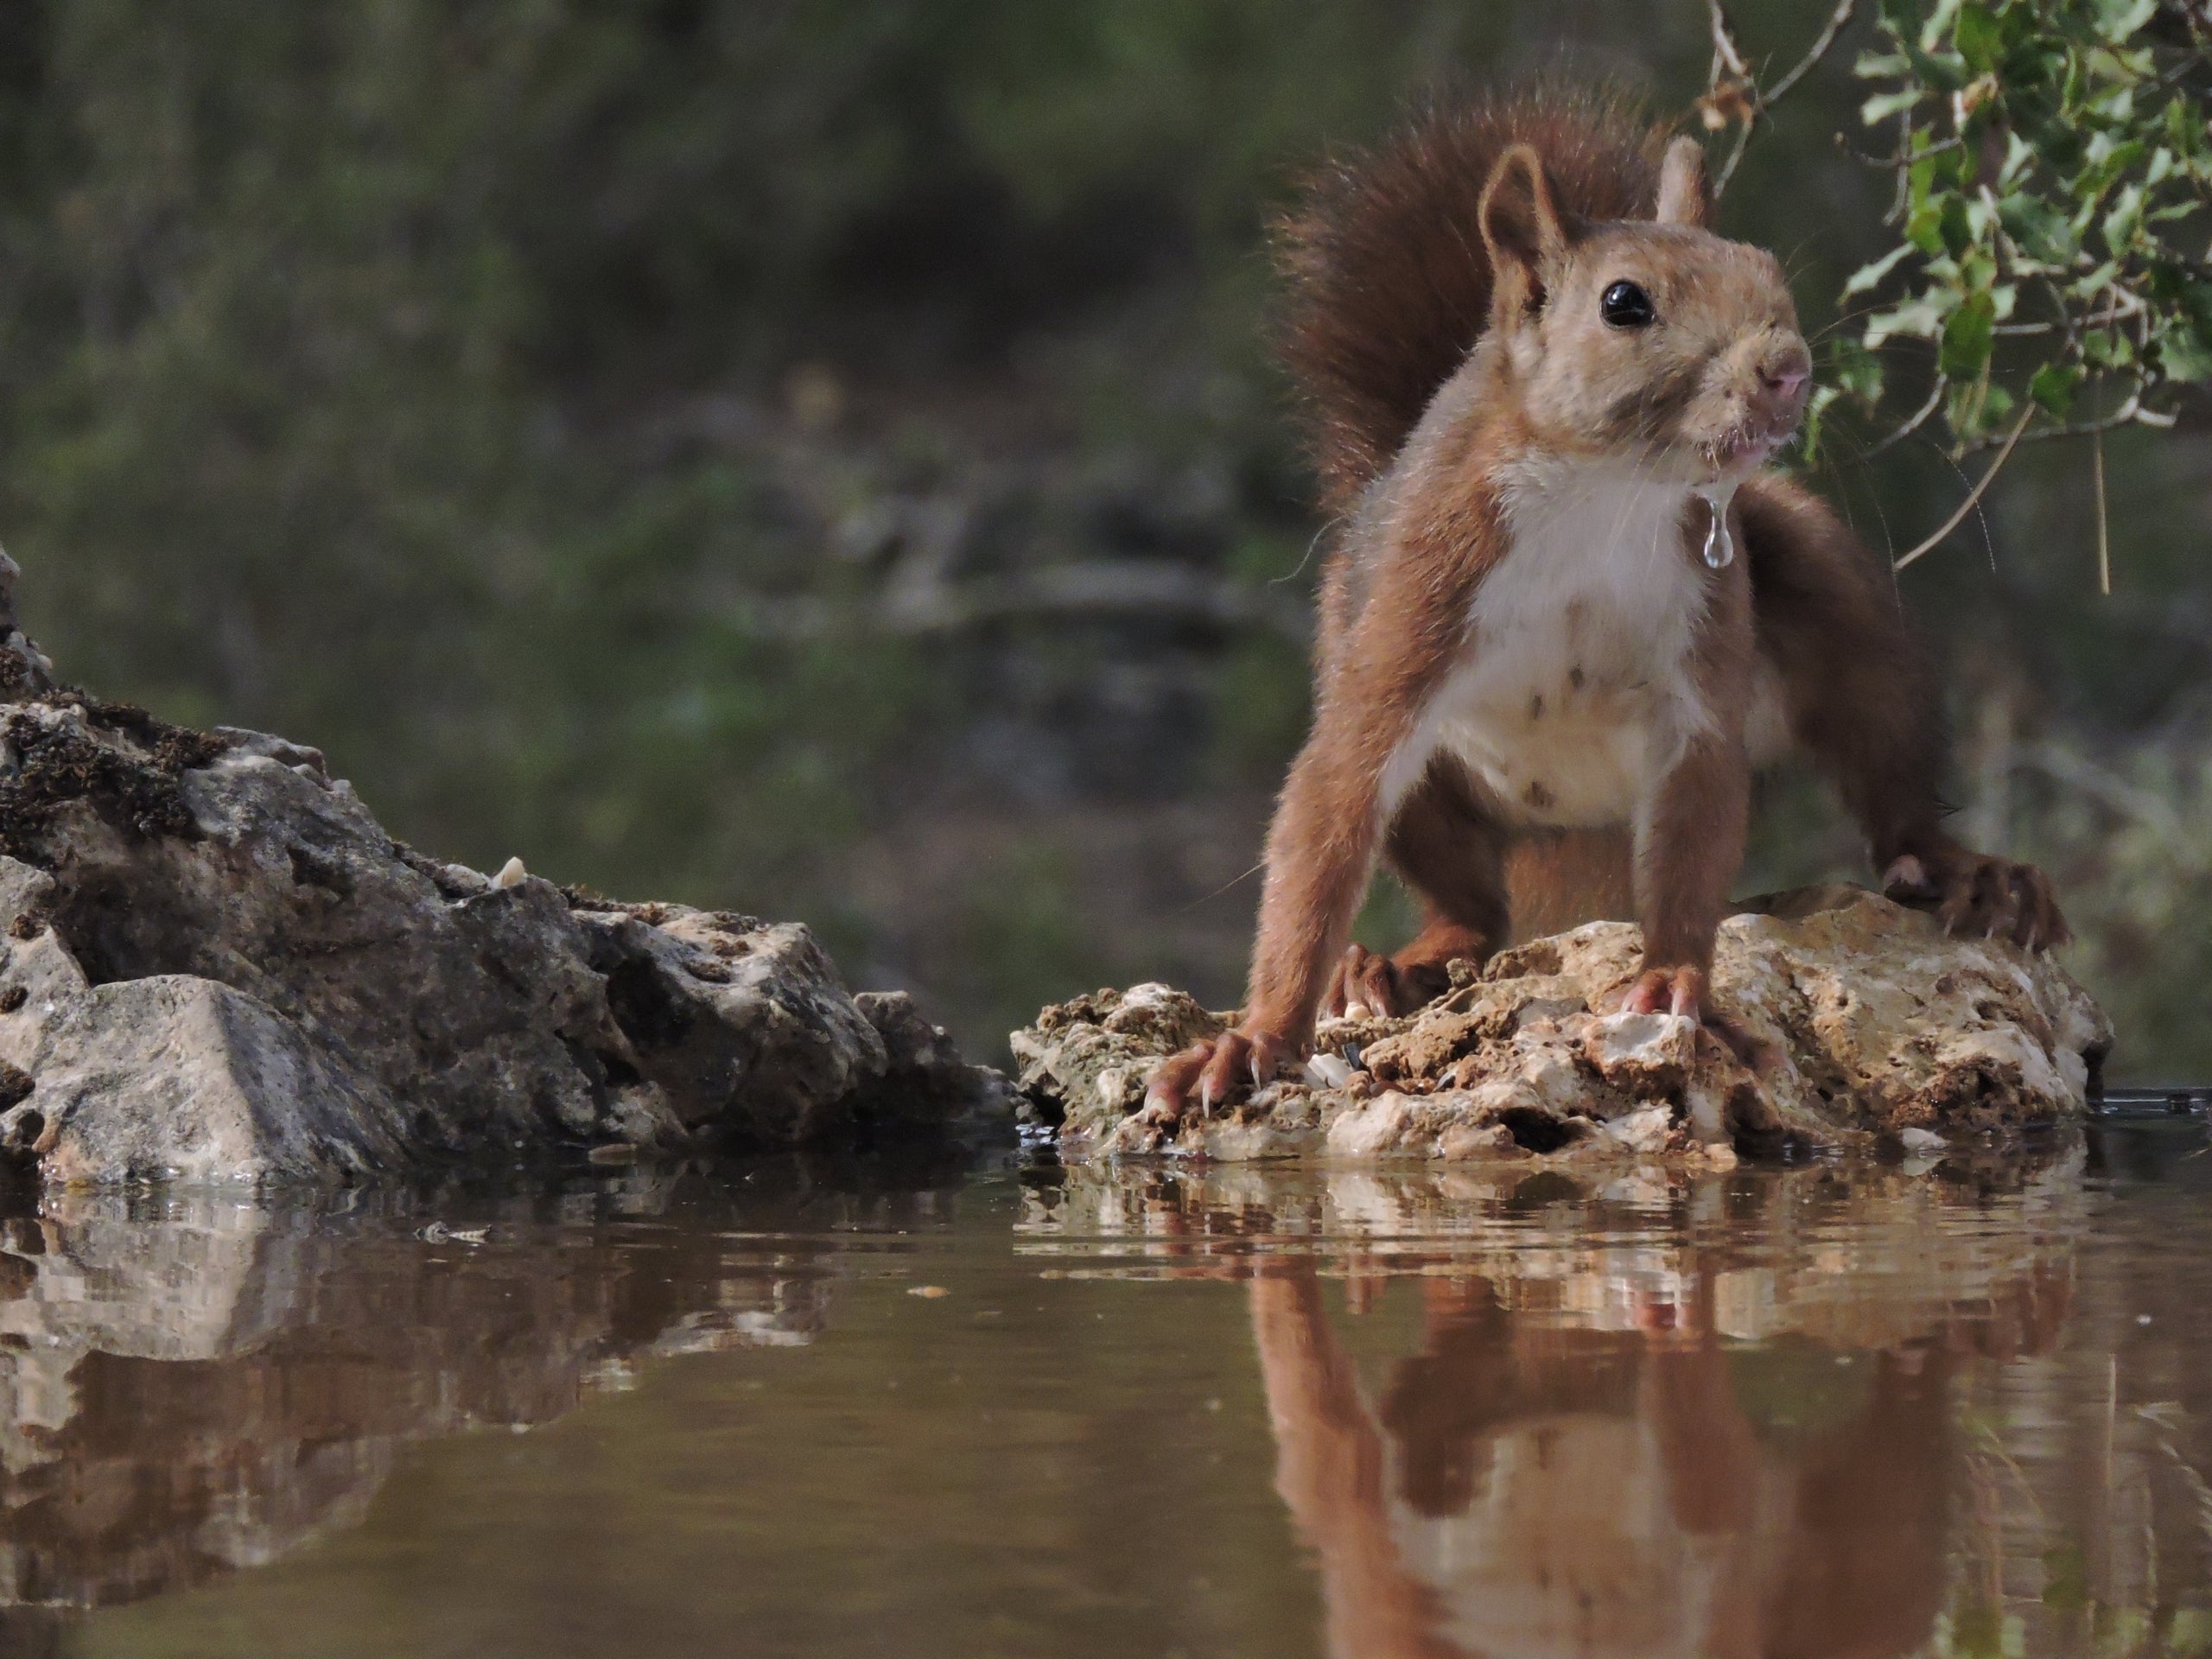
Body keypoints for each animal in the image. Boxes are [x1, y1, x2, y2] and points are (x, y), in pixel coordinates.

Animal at [1150, 81, 2061, 1119]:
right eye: (1624, 302)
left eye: (1767, 270)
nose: (1786, 369)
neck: (1602, 495)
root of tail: (1574, 824)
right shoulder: (1413, 608)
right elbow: (1330, 809)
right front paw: (1254, 1040)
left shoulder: (1700, 666)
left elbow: (1695, 830)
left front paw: (1675, 985)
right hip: (1402, 730)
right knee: (1471, 907)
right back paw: (1391, 967)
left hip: (1826, 587)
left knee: (1888, 775)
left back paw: (1971, 877)